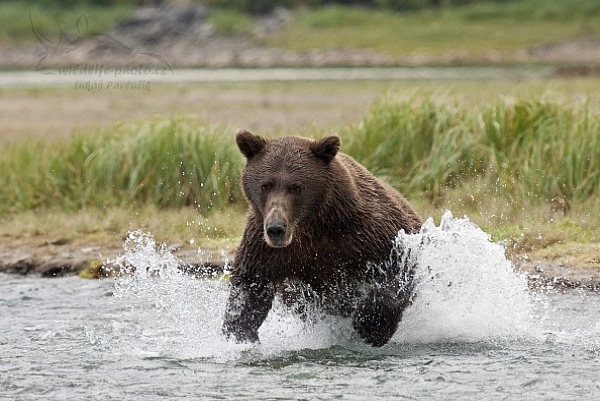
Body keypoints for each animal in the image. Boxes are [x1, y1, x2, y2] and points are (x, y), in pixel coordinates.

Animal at [223, 130, 424, 346]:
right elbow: (250, 286)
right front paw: (239, 333)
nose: (276, 228)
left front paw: (370, 325)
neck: (311, 226)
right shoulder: (264, 245)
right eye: (265, 185)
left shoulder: (367, 232)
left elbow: (397, 271)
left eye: (296, 187)